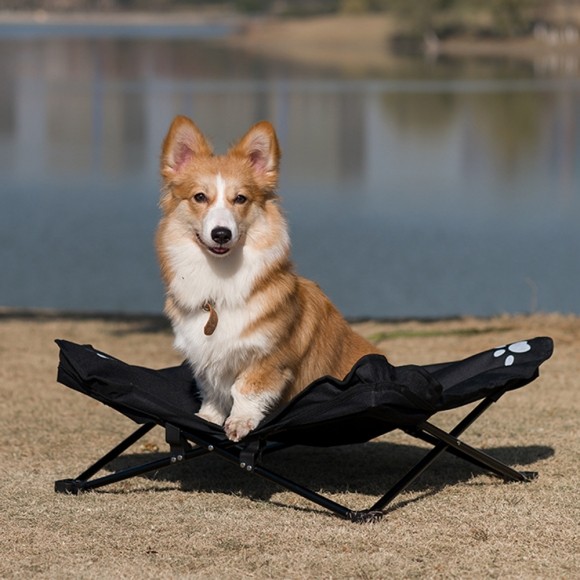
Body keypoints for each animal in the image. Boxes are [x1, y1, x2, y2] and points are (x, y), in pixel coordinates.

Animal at [155, 116, 380, 444]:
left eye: (240, 199)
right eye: (199, 197)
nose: (221, 234)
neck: (221, 279)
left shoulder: (270, 358)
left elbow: (245, 389)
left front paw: (239, 422)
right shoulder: (203, 355)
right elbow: (211, 391)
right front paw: (205, 420)